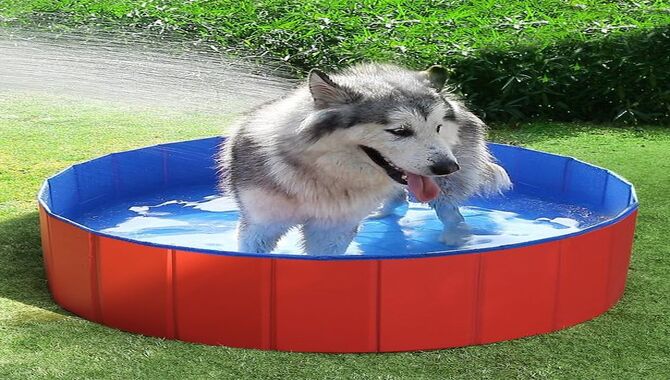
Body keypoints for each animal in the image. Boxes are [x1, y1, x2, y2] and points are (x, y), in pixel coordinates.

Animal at [223, 63, 512, 255]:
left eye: (438, 127)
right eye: (400, 131)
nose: (448, 167)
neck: (321, 175)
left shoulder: (333, 230)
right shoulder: (260, 225)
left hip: (444, 189)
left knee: (451, 213)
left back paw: (457, 240)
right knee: (400, 198)